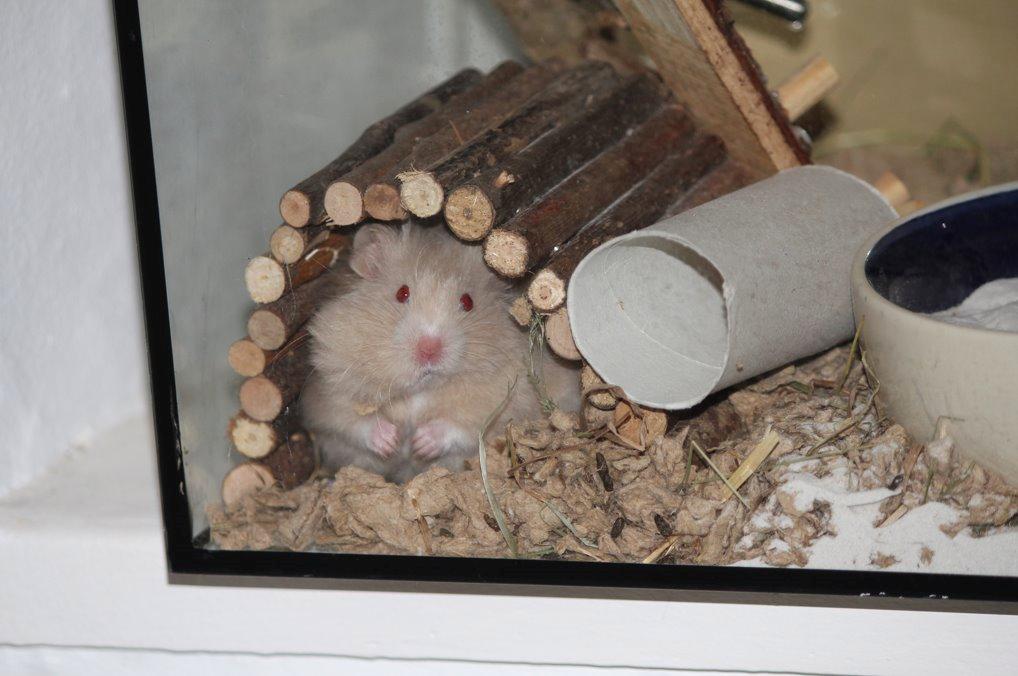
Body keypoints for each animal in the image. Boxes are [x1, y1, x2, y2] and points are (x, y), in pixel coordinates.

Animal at [302, 222, 581, 483]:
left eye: (468, 302)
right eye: (401, 293)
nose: (429, 350)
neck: (422, 391)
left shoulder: (512, 396)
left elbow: (470, 424)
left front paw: (420, 443)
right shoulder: (327, 385)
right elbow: (347, 417)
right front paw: (391, 440)